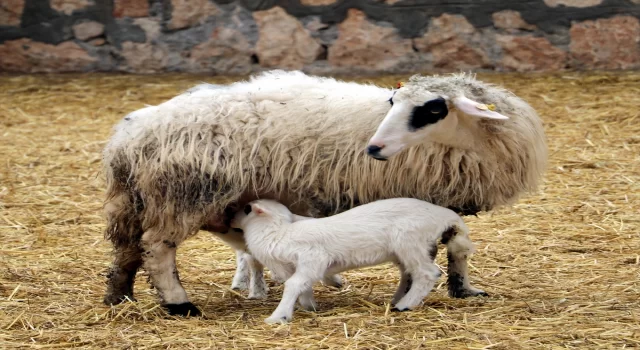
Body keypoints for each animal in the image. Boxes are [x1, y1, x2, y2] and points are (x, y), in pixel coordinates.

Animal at [232, 198, 482, 324]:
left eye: (247, 208)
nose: (228, 215)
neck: (278, 233)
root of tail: (445, 215)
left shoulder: (313, 258)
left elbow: (294, 284)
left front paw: (278, 316)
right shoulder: (300, 266)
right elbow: (303, 286)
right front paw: (310, 306)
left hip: (410, 241)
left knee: (427, 273)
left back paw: (404, 305)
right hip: (406, 249)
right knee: (409, 273)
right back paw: (398, 299)